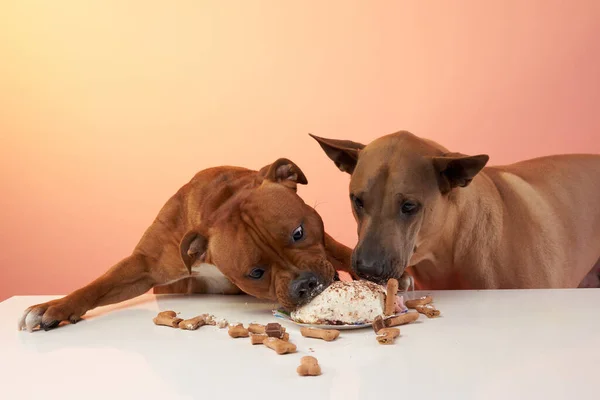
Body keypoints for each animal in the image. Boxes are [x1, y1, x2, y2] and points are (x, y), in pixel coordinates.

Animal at [18, 159, 354, 332]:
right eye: (256, 273)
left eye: (299, 232)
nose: (305, 284)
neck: (221, 202)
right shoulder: (144, 265)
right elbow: (98, 285)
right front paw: (54, 306)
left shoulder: (325, 241)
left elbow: (344, 253)